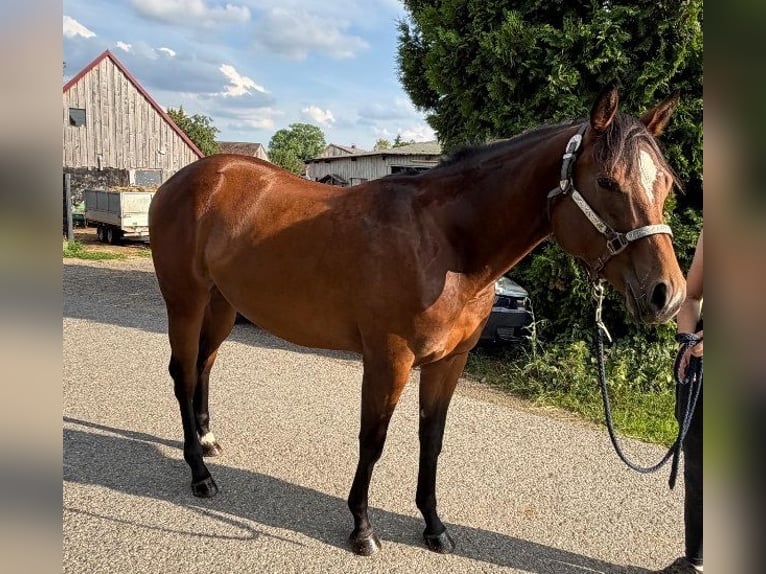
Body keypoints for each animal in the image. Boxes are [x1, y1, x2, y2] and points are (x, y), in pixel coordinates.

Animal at [149, 85, 685, 556]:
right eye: (607, 182)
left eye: (664, 183)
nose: (668, 295)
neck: (444, 242)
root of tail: (185, 179)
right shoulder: (389, 359)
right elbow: (373, 440)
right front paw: (362, 529)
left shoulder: (449, 361)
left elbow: (432, 440)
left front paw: (433, 526)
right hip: (186, 301)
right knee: (182, 374)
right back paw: (199, 474)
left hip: (222, 304)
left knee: (205, 366)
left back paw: (207, 441)